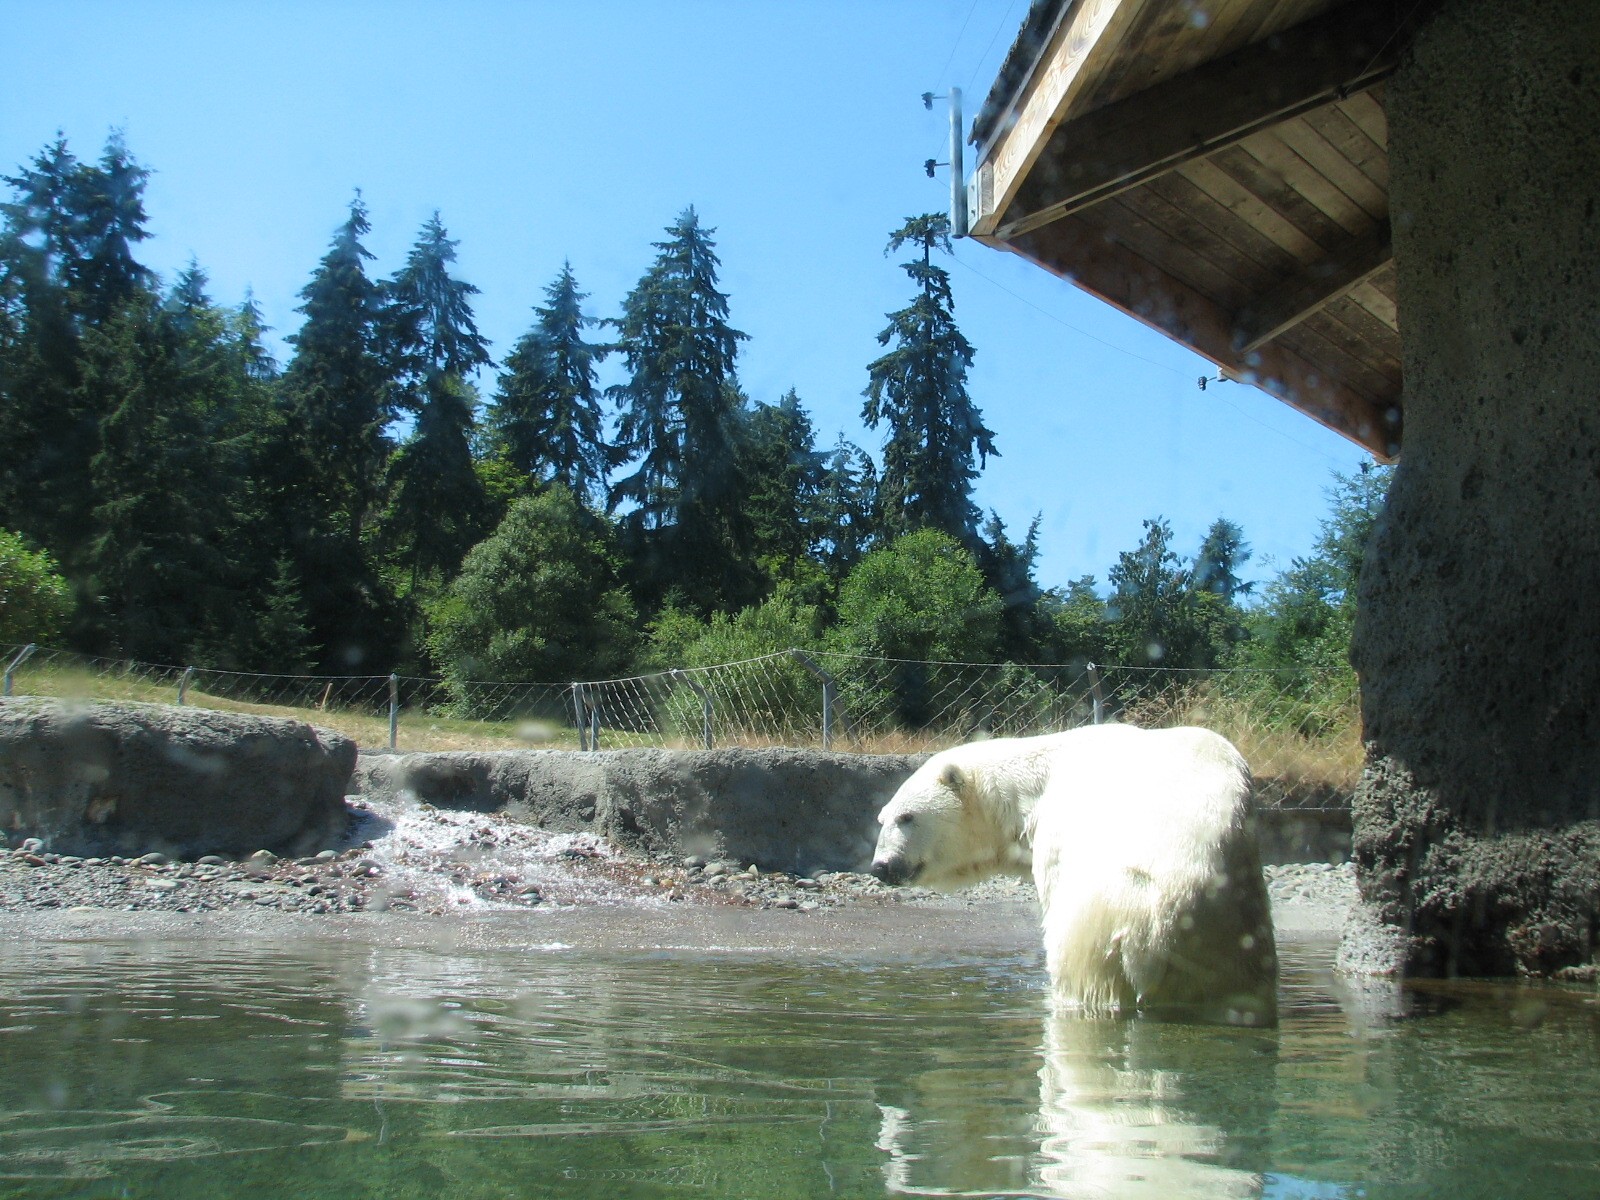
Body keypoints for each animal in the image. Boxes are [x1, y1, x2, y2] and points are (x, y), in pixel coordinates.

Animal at [870, 724, 1277, 1026]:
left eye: (907, 817)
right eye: (882, 818)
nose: (881, 867)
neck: (1035, 783)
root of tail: (1157, 923)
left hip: (1099, 931)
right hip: (1229, 929)